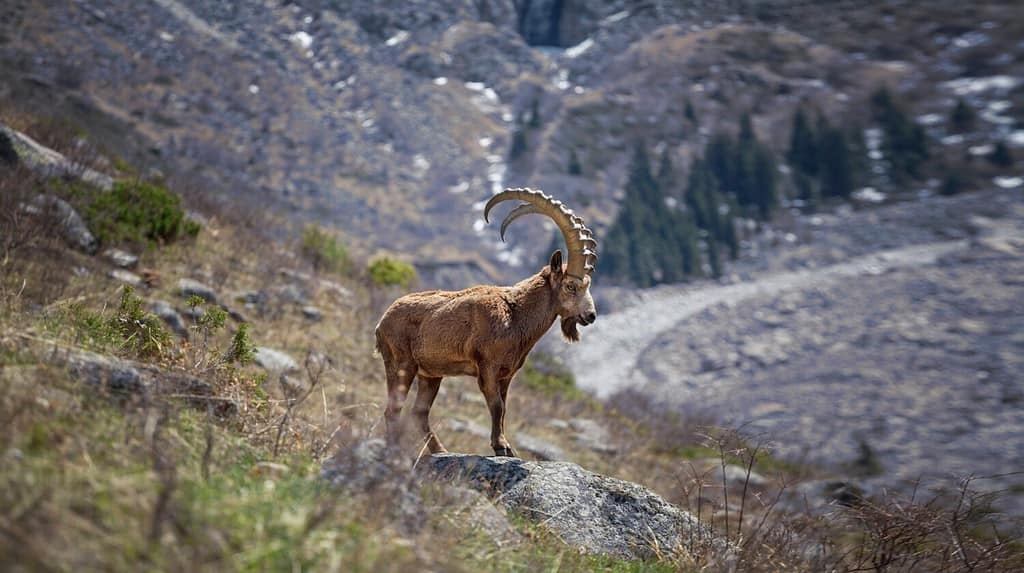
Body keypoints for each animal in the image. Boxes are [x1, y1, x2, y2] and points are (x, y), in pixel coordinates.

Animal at [376, 188, 598, 456]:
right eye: (570, 286)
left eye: (587, 285)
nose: (590, 316)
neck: (515, 313)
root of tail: (382, 321)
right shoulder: (488, 368)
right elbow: (496, 406)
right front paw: (502, 447)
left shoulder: (506, 375)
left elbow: (503, 408)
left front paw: (504, 446)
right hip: (401, 364)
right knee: (393, 409)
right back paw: (394, 449)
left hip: (430, 375)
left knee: (419, 413)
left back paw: (441, 451)